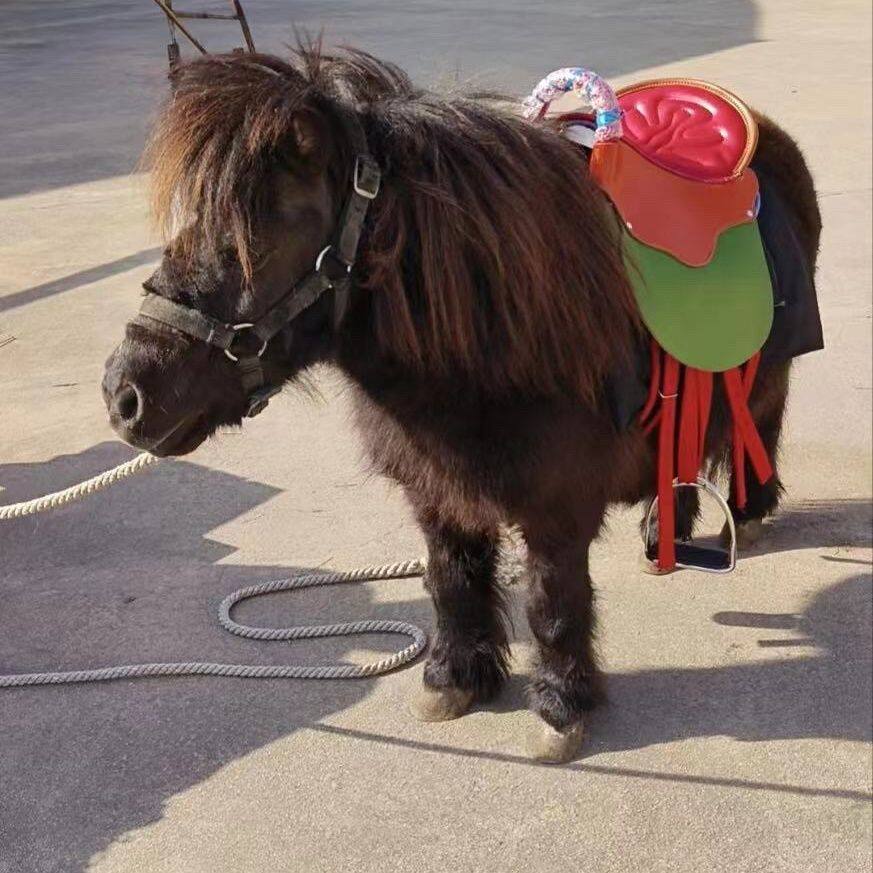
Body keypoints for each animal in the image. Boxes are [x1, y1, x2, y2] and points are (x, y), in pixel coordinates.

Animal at [102, 45, 821, 763]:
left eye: (256, 237)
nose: (123, 394)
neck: (502, 328)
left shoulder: (558, 507)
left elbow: (551, 603)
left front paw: (559, 707)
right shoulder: (435, 489)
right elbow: (451, 580)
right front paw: (455, 678)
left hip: (770, 374)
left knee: (761, 421)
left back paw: (749, 510)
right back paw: (662, 527)